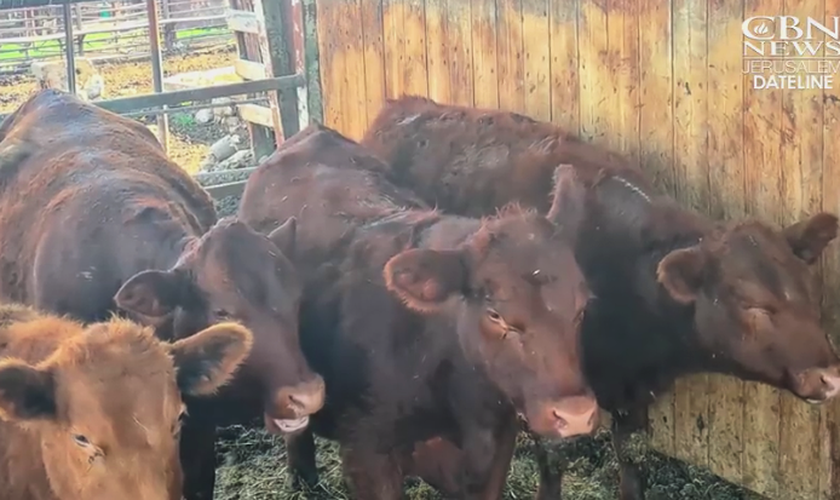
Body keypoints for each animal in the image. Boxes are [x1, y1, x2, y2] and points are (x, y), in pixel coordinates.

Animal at [360, 95, 840, 498]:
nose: (829, 377)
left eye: (811, 292)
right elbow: (553, 459)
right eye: (752, 304)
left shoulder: (635, 398)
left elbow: (632, 462)